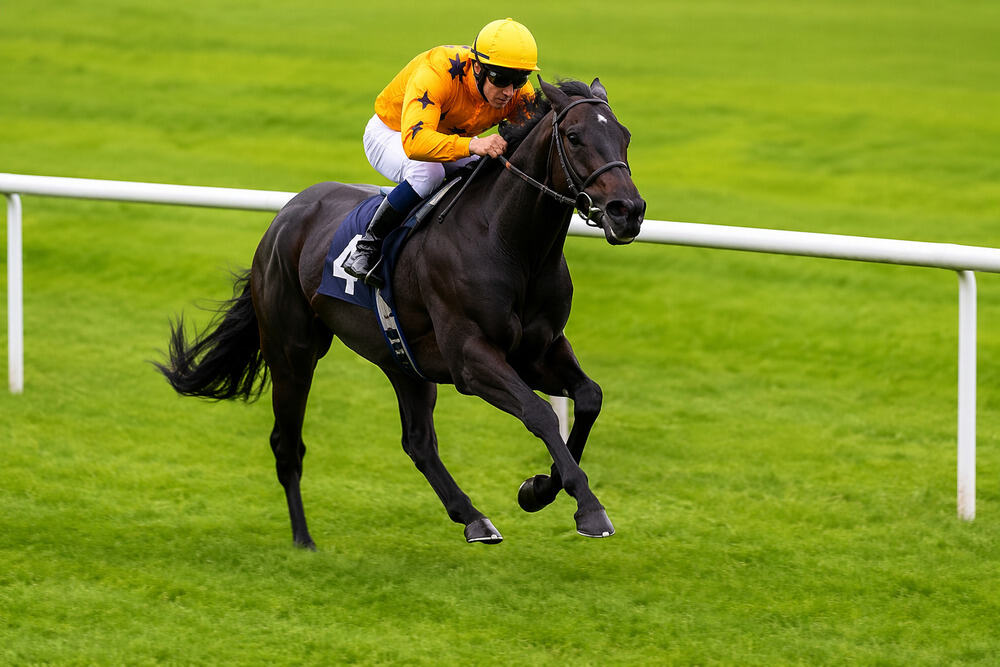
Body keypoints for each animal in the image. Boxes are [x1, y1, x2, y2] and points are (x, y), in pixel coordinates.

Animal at [156, 77, 645, 549]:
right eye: (574, 136)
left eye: (624, 135)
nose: (628, 211)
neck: (508, 242)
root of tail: (286, 215)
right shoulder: (470, 358)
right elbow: (540, 413)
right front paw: (587, 508)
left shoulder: (540, 350)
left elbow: (589, 397)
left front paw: (540, 489)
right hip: (292, 351)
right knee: (287, 443)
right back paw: (303, 539)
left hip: (402, 360)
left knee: (418, 443)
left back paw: (474, 519)